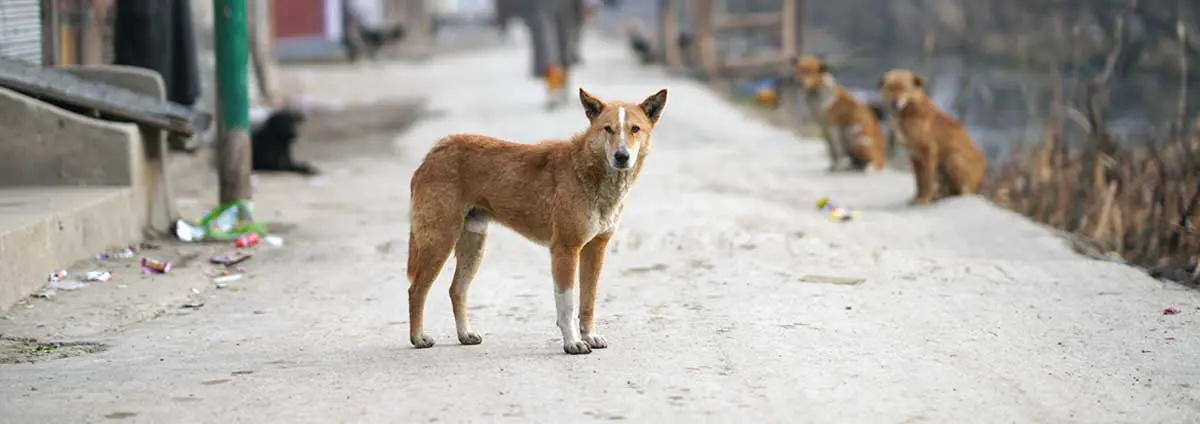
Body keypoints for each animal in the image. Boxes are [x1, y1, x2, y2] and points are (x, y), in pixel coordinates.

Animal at [403, 86, 667, 353]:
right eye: (608, 129)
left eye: (635, 129)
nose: (621, 156)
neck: (589, 171)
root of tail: (433, 153)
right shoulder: (565, 249)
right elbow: (567, 305)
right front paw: (573, 342)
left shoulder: (595, 248)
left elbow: (588, 300)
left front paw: (589, 335)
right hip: (439, 241)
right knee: (416, 290)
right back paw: (418, 337)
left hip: (474, 245)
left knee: (456, 290)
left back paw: (465, 334)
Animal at [878, 68, 988, 204]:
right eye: (890, 87)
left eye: (904, 88)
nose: (894, 102)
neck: (909, 112)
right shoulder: (914, 155)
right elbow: (919, 181)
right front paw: (917, 197)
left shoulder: (929, 152)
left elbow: (927, 180)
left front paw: (925, 199)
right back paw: (939, 196)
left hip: (954, 159)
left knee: (962, 192)